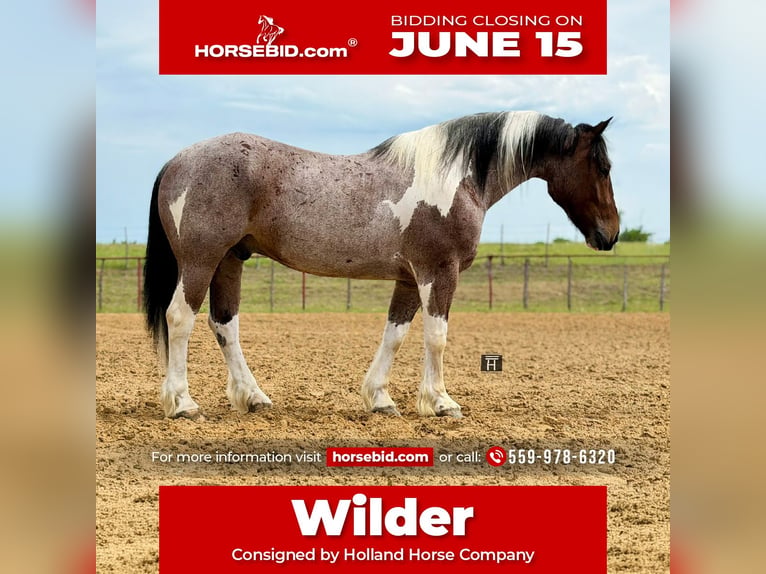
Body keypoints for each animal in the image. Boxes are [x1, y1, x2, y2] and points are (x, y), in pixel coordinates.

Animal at [143, 111, 619, 421]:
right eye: (602, 165)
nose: (611, 234)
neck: (454, 178)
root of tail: (176, 161)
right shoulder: (438, 272)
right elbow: (436, 337)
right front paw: (440, 402)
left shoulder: (409, 278)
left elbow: (395, 335)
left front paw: (379, 398)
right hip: (201, 260)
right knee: (180, 318)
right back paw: (182, 403)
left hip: (230, 260)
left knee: (225, 324)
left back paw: (253, 397)